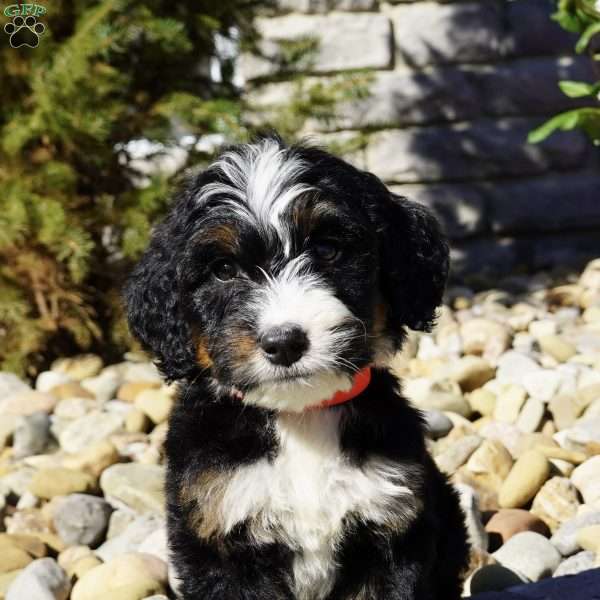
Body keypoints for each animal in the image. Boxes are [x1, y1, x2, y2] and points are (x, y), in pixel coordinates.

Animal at [126, 137, 472, 600]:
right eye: (223, 270)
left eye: (327, 249)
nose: (284, 341)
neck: (301, 415)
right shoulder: (217, 533)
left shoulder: (395, 526)